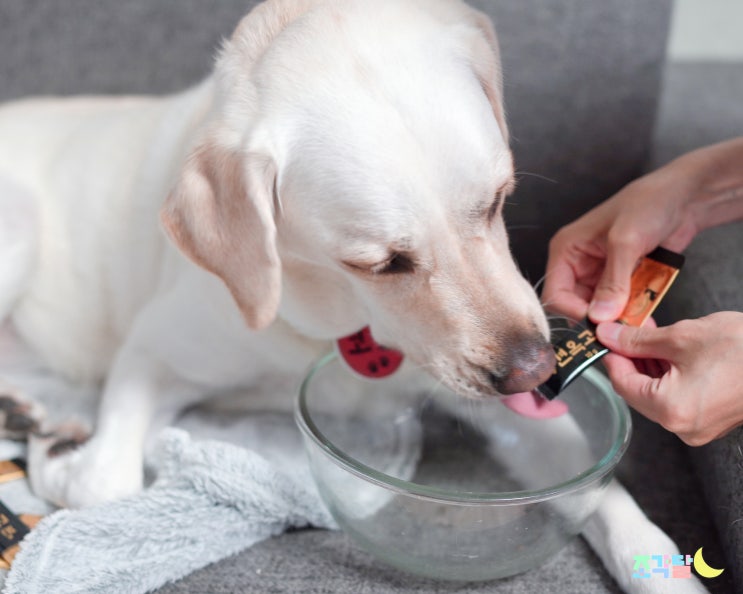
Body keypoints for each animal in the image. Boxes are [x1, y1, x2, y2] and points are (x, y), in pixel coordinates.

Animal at [0, 0, 708, 588]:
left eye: (497, 201)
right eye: (382, 263)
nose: (533, 372)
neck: (331, 322)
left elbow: (608, 497)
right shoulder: (151, 351)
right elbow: (104, 482)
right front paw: (61, 457)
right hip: (21, 226)